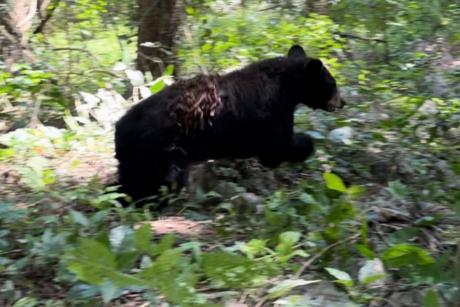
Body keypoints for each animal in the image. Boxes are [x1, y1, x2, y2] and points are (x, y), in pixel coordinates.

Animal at [113, 45, 344, 209]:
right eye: (332, 83)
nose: (343, 102)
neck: (286, 85)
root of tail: (120, 128)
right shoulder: (274, 113)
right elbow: (276, 148)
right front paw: (305, 144)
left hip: (136, 158)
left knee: (130, 181)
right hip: (162, 151)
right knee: (162, 181)